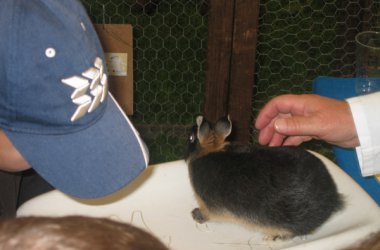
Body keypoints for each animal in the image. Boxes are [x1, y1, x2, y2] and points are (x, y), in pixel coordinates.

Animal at [186, 115, 346, 240]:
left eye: (191, 138)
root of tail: (331, 200)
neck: (210, 150)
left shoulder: (207, 205)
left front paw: (195, 214)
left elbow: (207, 214)